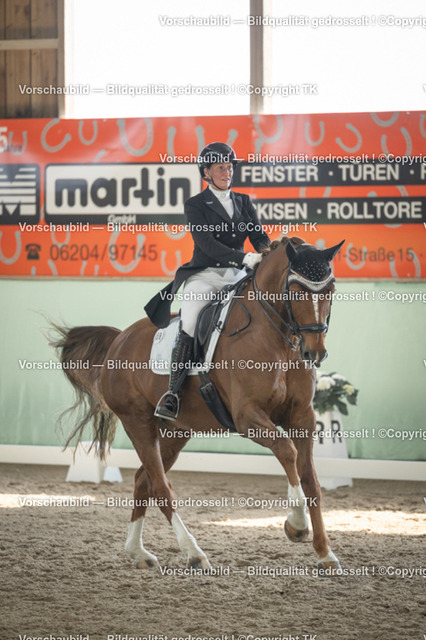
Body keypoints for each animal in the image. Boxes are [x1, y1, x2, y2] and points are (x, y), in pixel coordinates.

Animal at [52, 235, 344, 575]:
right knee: (161, 487)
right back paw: (194, 552)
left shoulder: (302, 418)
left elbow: (311, 480)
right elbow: (287, 451)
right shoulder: (247, 417)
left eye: (330, 290)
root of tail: (119, 339)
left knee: (143, 481)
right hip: (137, 422)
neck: (277, 339)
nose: (315, 353)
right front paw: (296, 524)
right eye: (297, 291)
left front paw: (325, 553)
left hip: (174, 433)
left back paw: (138, 552)